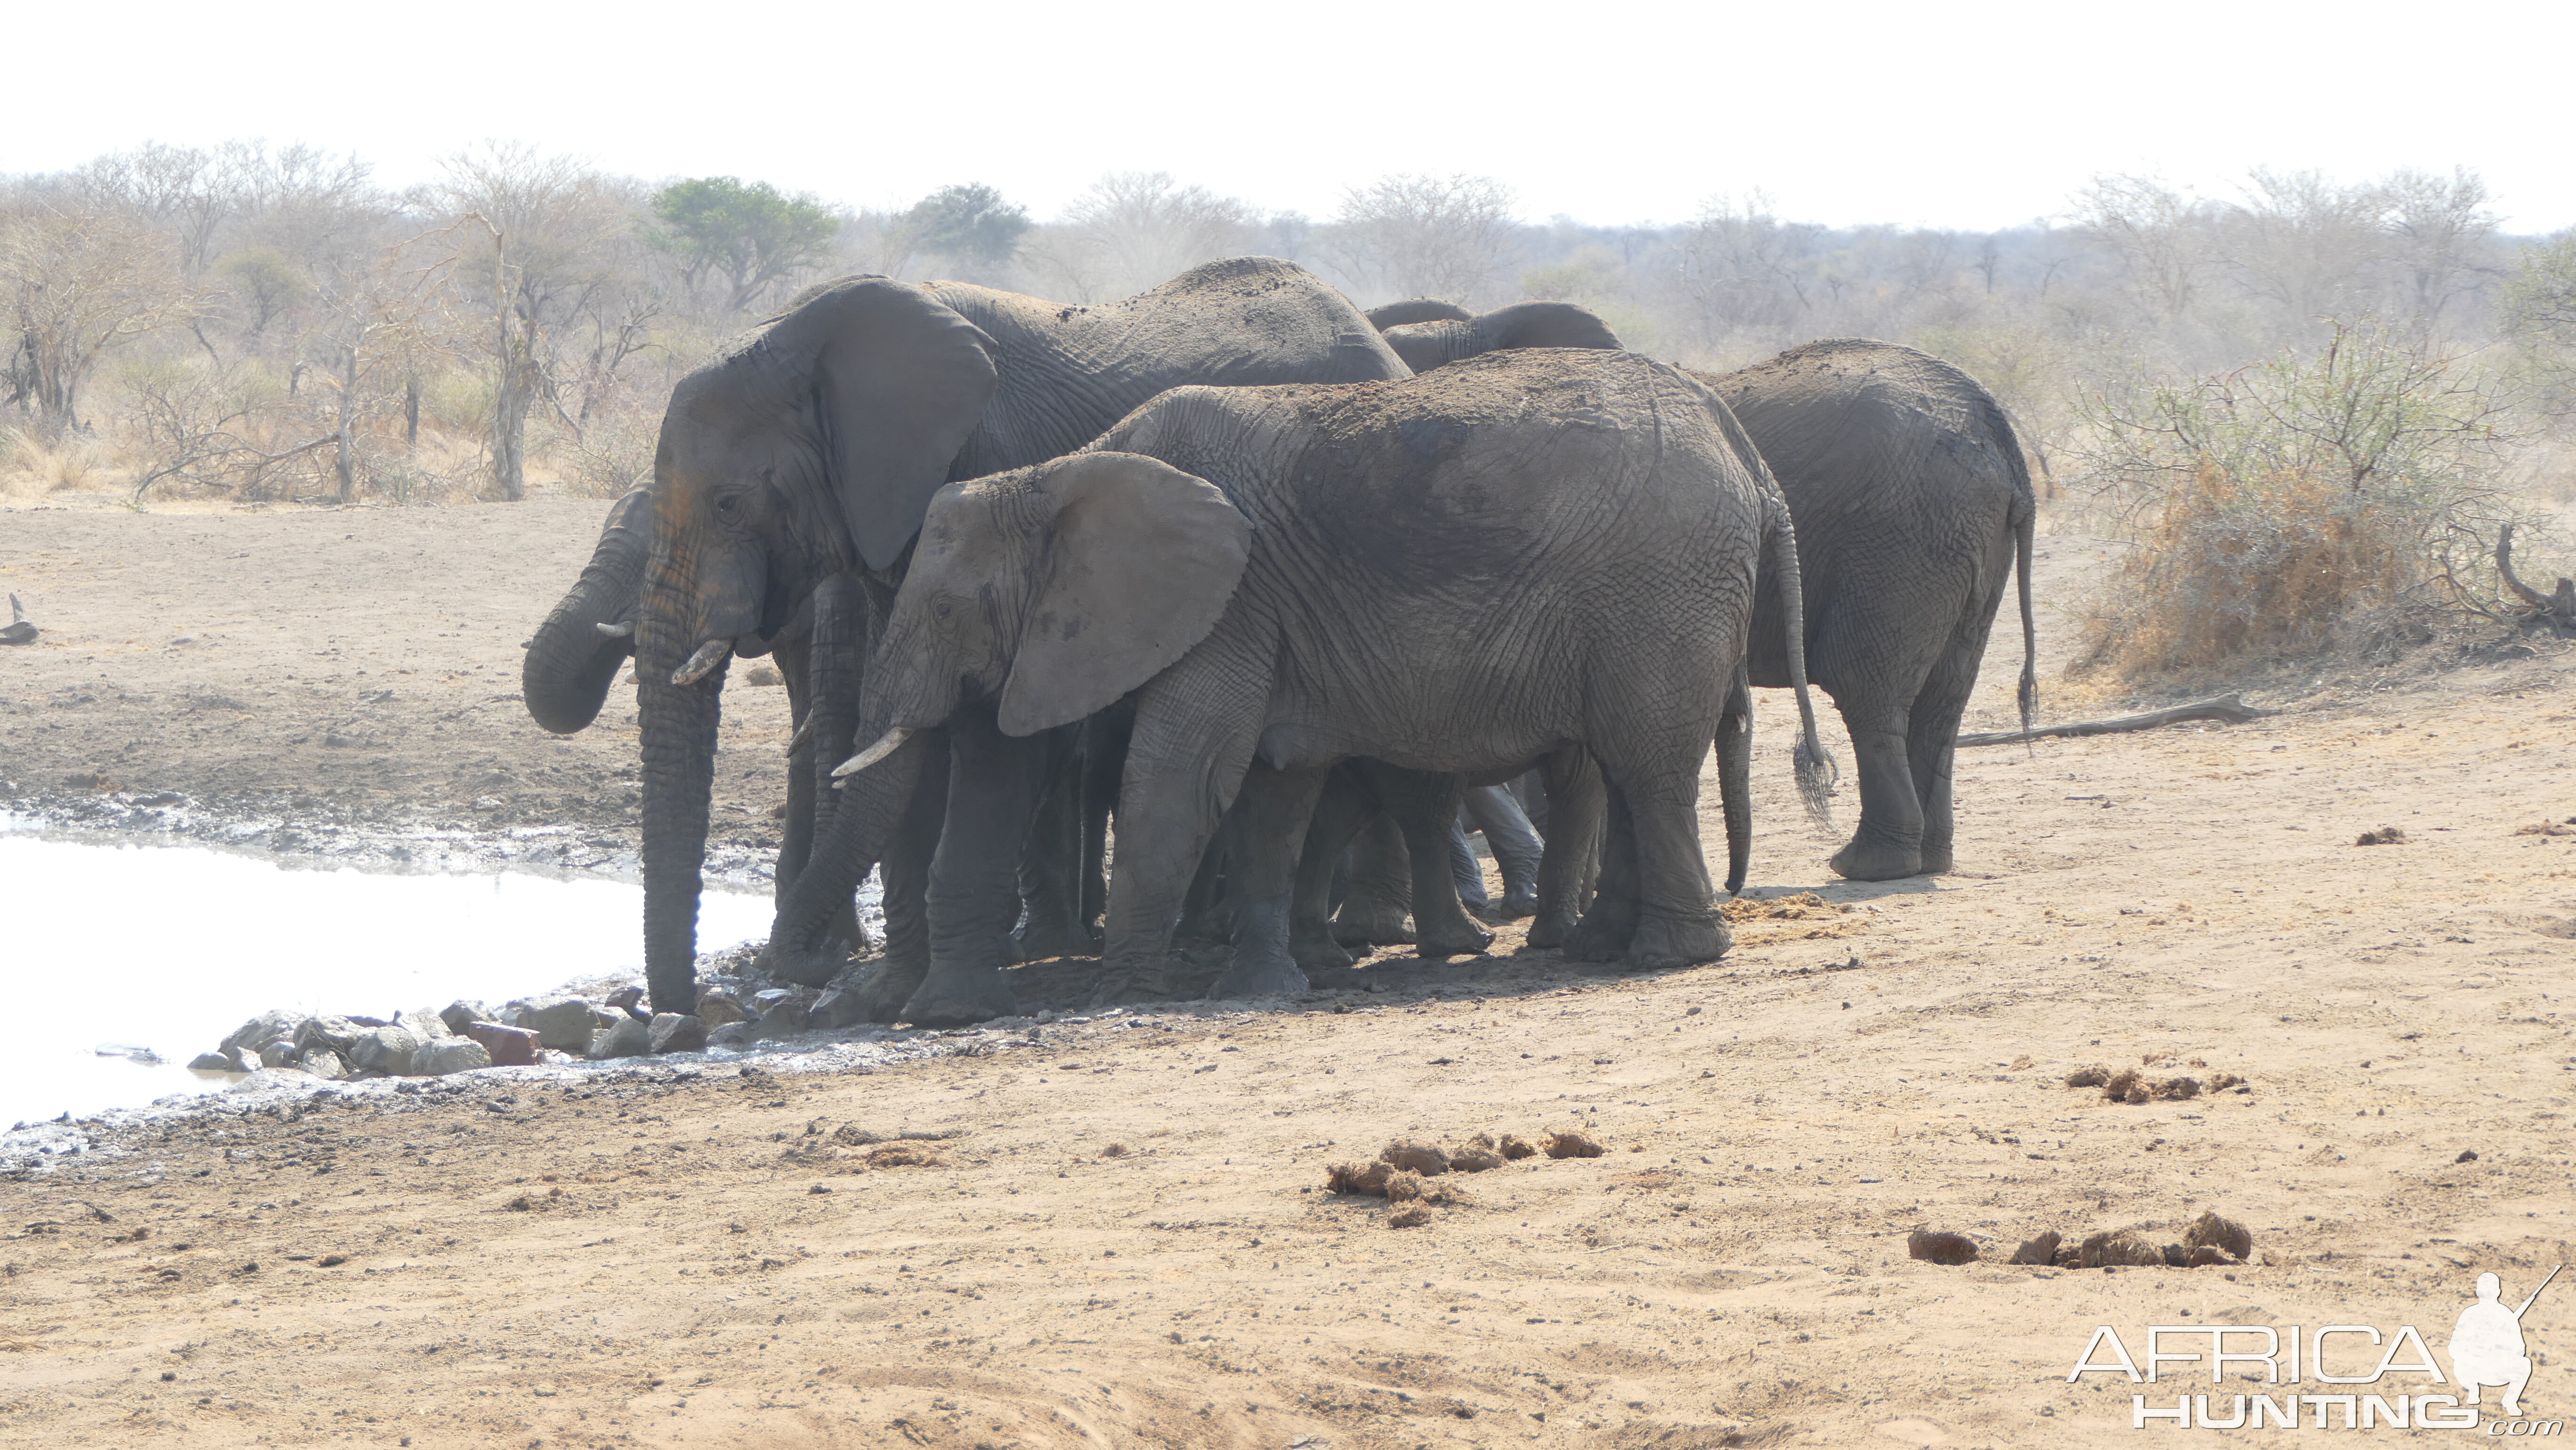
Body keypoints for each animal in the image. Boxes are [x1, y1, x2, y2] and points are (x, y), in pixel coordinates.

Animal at [636, 264, 1422, 1030]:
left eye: (729, 504)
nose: (683, 1018)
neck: (809, 329)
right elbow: (910, 741)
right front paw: (884, 999)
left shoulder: (990, 482)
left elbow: (984, 739)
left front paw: (949, 1008)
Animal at [814, 353, 1844, 1009]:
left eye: (947, 612)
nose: (819, 996)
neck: (1059, 473)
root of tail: (1747, 454)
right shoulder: (1250, 619)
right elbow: (1270, 790)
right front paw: (1262, 988)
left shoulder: (1229, 601)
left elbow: (1185, 774)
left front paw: (1126, 994)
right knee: (1626, 764)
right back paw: (1607, 949)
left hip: (1658, 590)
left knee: (1645, 763)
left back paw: (1665, 958)